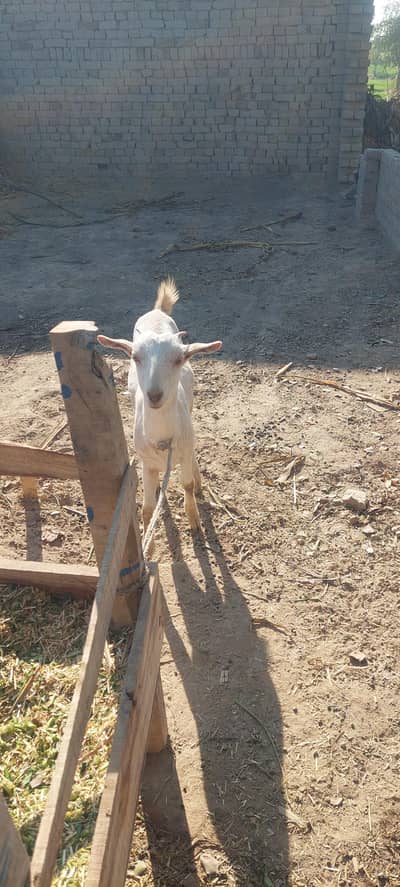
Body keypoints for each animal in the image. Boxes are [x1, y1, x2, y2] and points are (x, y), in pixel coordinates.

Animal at [97, 277, 222, 533]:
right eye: (135, 357)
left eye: (178, 359)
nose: (154, 395)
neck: (164, 440)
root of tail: (157, 310)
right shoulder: (146, 464)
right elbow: (146, 508)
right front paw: (148, 537)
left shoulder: (183, 447)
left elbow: (186, 484)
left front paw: (194, 518)